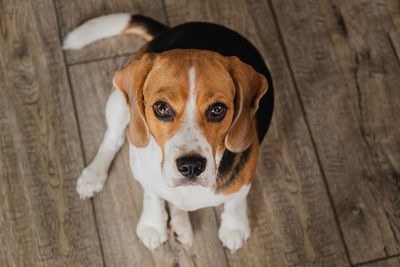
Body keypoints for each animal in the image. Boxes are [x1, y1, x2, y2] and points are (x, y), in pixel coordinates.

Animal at [64, 14, 274, 253]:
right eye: (162, 108)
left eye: (217, 109)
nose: (191, 166)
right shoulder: (145, 174)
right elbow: (152, 196)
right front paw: (153, 225)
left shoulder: (245, 178)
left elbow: (236, 201)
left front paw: (234, 227)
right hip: (118, 101)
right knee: (113, 139)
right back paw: (93, 176)